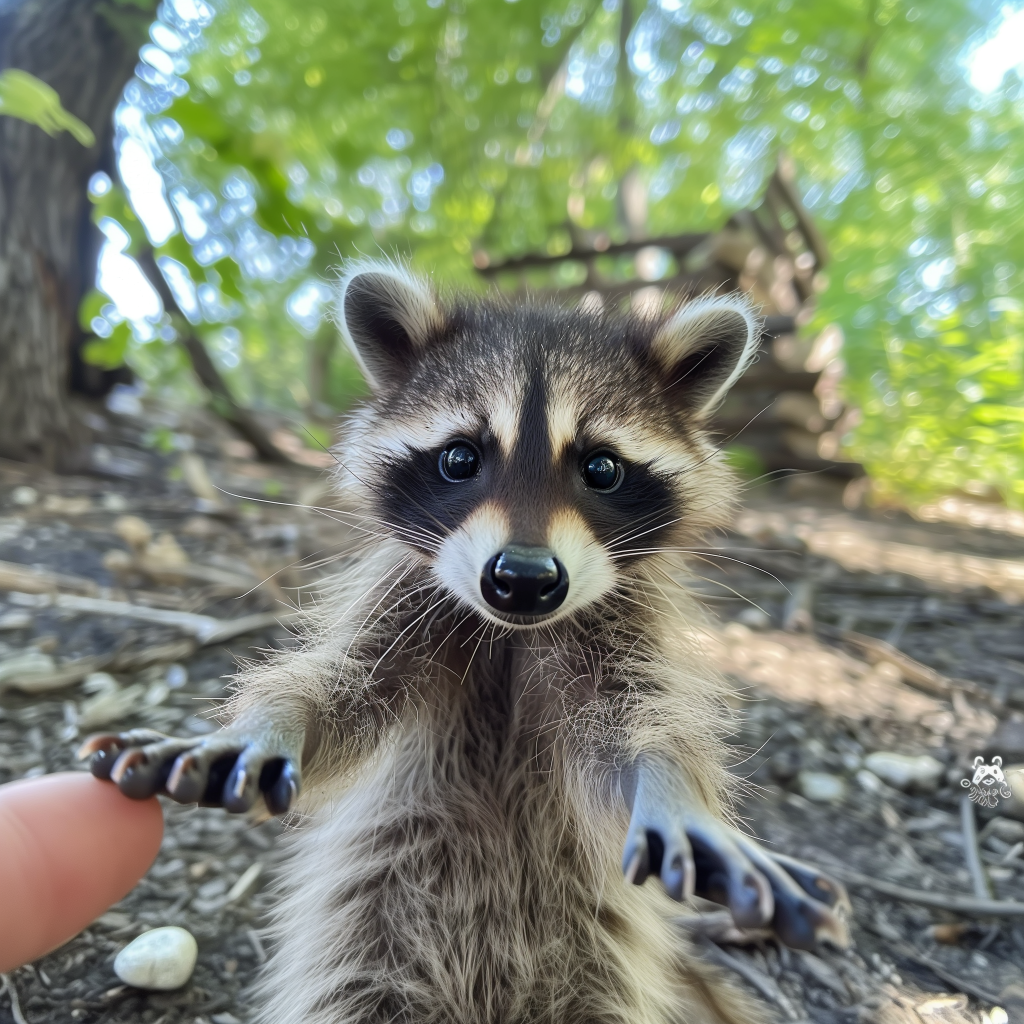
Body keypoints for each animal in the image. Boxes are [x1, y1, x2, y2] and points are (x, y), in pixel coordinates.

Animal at [81, 264, 847, 1024]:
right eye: (459, 458)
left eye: (601, 468)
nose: (525, 579)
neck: (512, 635)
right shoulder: (406, 595)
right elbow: (343, 691)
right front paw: (270, 724)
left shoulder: (623, 621)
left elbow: (631, 733)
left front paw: (671, 790)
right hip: (373, 933)